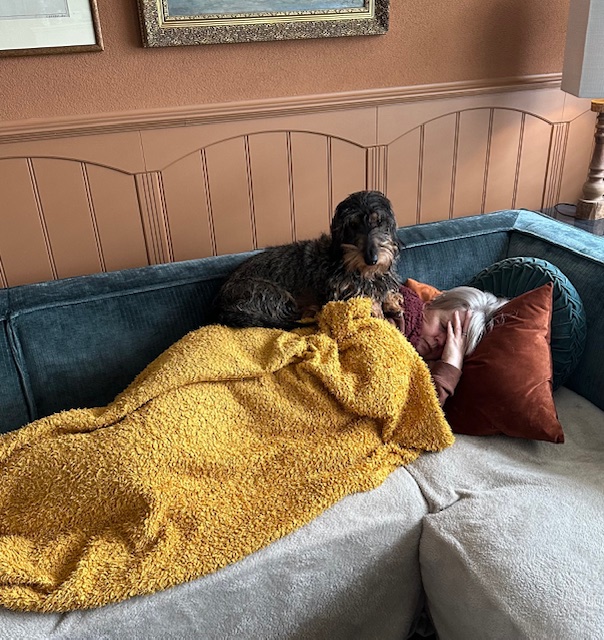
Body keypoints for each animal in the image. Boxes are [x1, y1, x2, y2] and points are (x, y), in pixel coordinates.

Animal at [213, 190, 404, 329]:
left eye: (378, 221)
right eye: (353, 225)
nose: (371, 259)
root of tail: (220, 303)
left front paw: (393, 302)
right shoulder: (343, 294)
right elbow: (370, 301)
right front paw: (381, 313)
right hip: (273, 294)